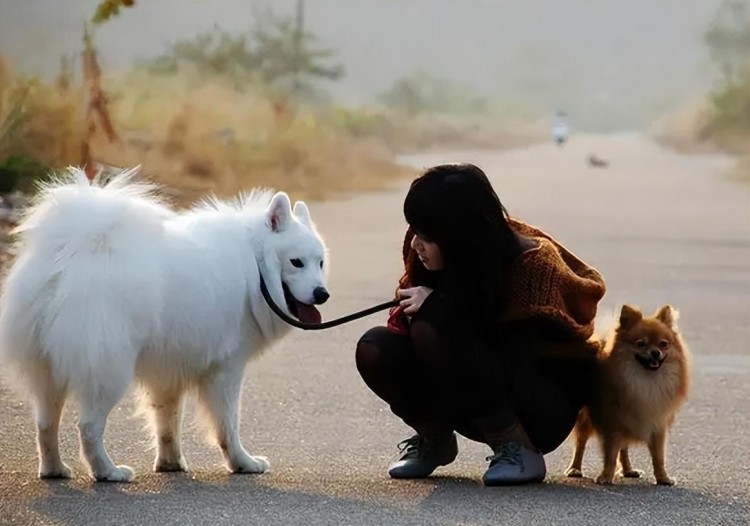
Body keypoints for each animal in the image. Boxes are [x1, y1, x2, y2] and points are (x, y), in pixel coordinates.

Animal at [0, 168, 328, 482]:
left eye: (320, 263)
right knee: (89, 427)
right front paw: (243, 463)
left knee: (45, 424)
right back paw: (108, 472)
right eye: (296, 262)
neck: (255, 263)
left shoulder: (169, 370)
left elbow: (167, 422)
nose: (322, 294)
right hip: (109, 371)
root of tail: (66, 259)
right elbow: (228, 426)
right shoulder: (226, 369)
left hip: (48, 371)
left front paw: (171, 464)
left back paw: (54, 469)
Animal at [568, 306, 692, 486]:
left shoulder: (657, 426)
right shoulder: (612, 425)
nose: (655, 353)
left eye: (663, 344)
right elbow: (610, 455)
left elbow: (658, 457)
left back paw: (628, 470)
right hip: (587, 418)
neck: (645, 381)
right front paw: (606, 476)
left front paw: (663, 478)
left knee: (624, 449)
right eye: (641, 344)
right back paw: (575, 469)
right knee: (581, 442)